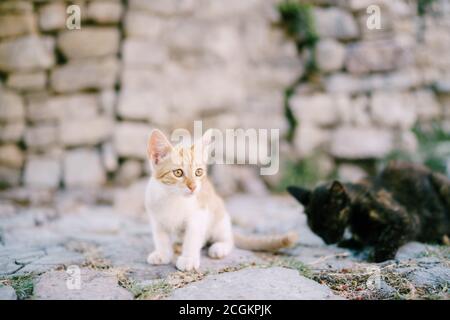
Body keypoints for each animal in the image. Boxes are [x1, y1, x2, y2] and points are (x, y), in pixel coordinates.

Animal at [146, 129, 298, 272]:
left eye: (198, 172)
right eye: (177, 172)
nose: (193, 186)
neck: (173, 197)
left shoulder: (199, 214)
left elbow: (192, 238)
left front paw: (188, 258)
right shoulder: (156, 217)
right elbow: (161, 237)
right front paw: (163, 254)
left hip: (219, 217)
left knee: (228, 239)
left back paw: (220, 247)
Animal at [288, 161, 450, 262]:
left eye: (329, 225)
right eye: (315, 230)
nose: (328, 242)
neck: (356, 218)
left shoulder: (407, 219)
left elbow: (390, 236)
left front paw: (381, 253)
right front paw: (352, 241)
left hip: (442, 184)